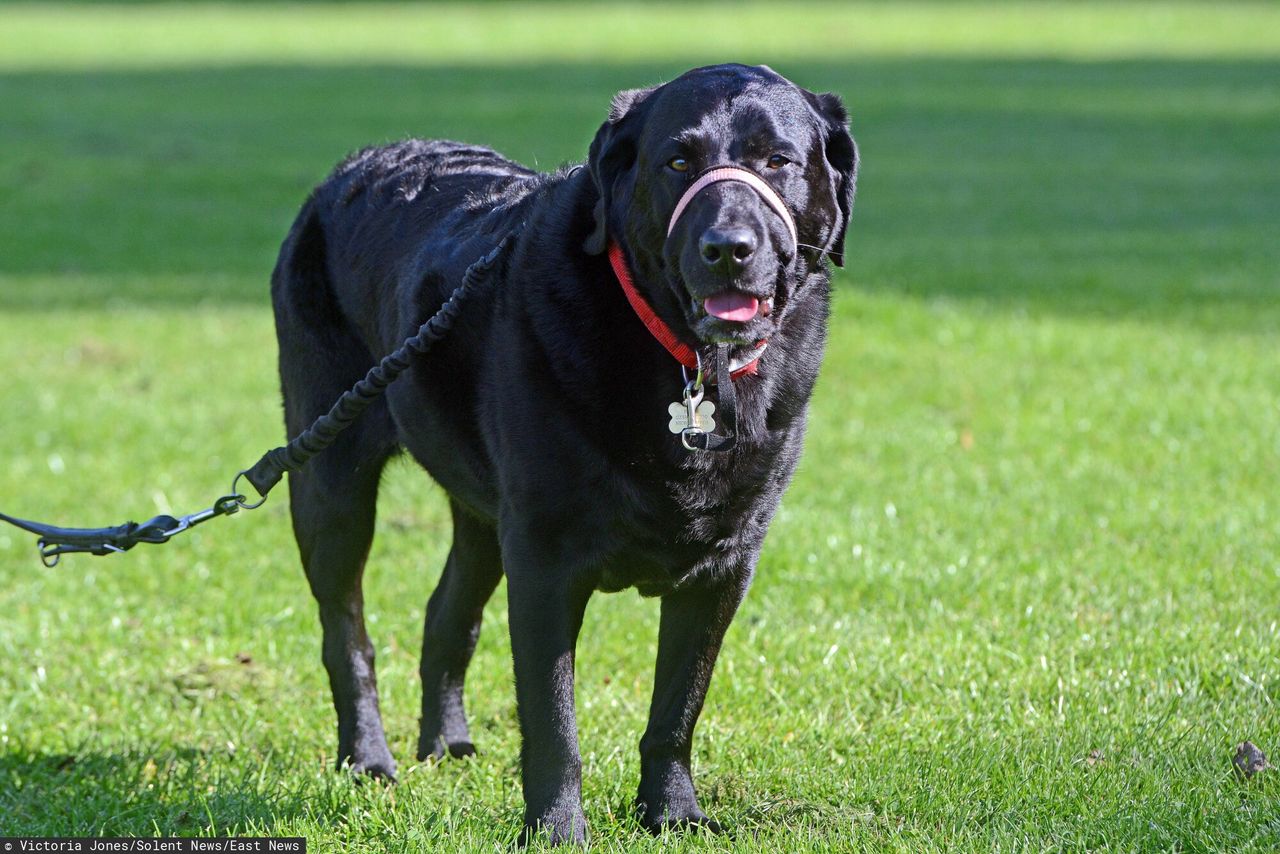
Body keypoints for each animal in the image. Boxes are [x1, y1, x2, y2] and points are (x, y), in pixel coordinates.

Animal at [272, 63, 860, 845]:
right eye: (678, 161)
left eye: (778, 160)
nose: (728, 246)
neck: (685, 364)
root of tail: (346, 170)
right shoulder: (545, 560)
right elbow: (553, 720)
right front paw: (556, 829)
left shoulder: (725, 565)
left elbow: (678, 707)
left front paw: (672, 813)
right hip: (330, 475)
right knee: (347, 632)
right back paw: (368, 759)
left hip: (482, 516)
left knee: (446, 615)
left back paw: (447, 745)